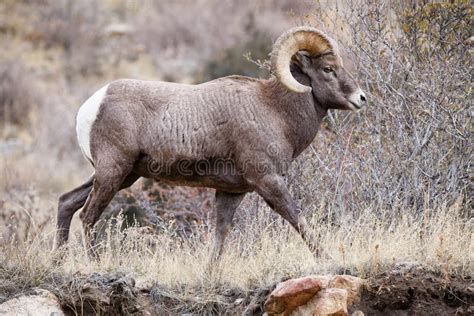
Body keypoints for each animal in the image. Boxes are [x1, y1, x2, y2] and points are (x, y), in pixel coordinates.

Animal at [56, 27, 366, 258]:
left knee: (67, 202)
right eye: (328, 69)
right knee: (87, 216)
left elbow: (220, 236)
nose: (361, 98)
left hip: (123, 175)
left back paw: (58, 260)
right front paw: (330, 260)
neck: (276, 110)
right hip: (113, 171)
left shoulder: (231, 192)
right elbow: (296, 218)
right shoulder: (269, 181)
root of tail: (91, 105)